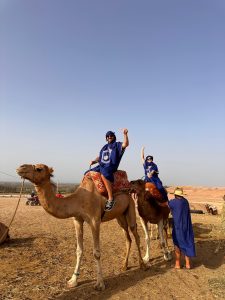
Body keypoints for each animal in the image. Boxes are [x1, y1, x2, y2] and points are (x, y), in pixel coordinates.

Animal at [16, 164, 145, 290]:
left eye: (39, 169)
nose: (20, 168)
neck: (78, 200)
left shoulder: (95, 221)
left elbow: (96, 253)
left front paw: (100, 284)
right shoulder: (77, 220)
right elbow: (79, 250)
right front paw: (73, 280)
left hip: (131, 207)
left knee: (136, 235)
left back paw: (142, 264)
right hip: (120, 216)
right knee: (128, 238)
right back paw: (124, 265)